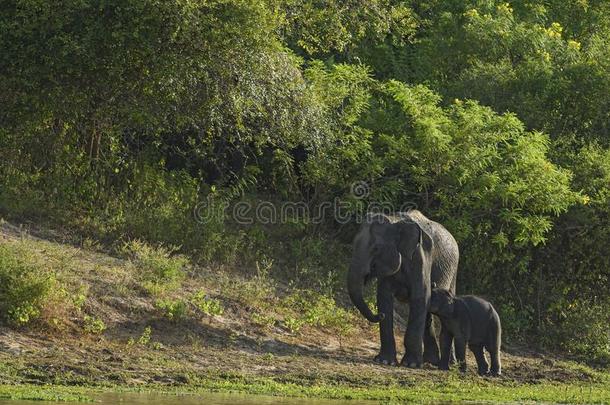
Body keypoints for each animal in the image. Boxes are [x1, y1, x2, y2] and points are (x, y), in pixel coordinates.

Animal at [346, 210, 456, 368]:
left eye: (376, 249)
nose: (380, 315)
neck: (395, 221)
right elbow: (384, 297)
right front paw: (384, 361)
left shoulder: (421, 257)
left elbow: (420, 296)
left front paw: (411, 364)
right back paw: (430, 361)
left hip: (453, 272)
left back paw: (450, 364)